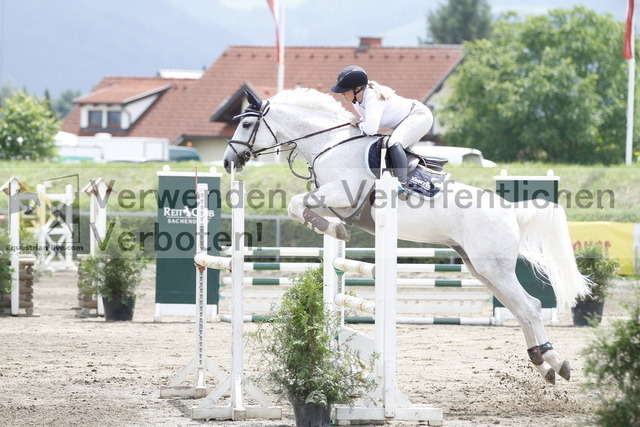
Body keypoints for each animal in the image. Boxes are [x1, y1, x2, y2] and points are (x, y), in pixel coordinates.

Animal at [223, 87, 590, 384]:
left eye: (246, 125)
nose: (228, 162)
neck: (329, 144)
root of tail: (510, 210)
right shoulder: (334, 200)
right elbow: (300, 207)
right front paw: (334, 228)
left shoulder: (342, 193)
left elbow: (296, 204)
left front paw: (335, 229)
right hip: (481, 269)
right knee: (521, 309)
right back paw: (544, 365)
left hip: (494, 268)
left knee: (530, 307)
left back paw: (555, 361)